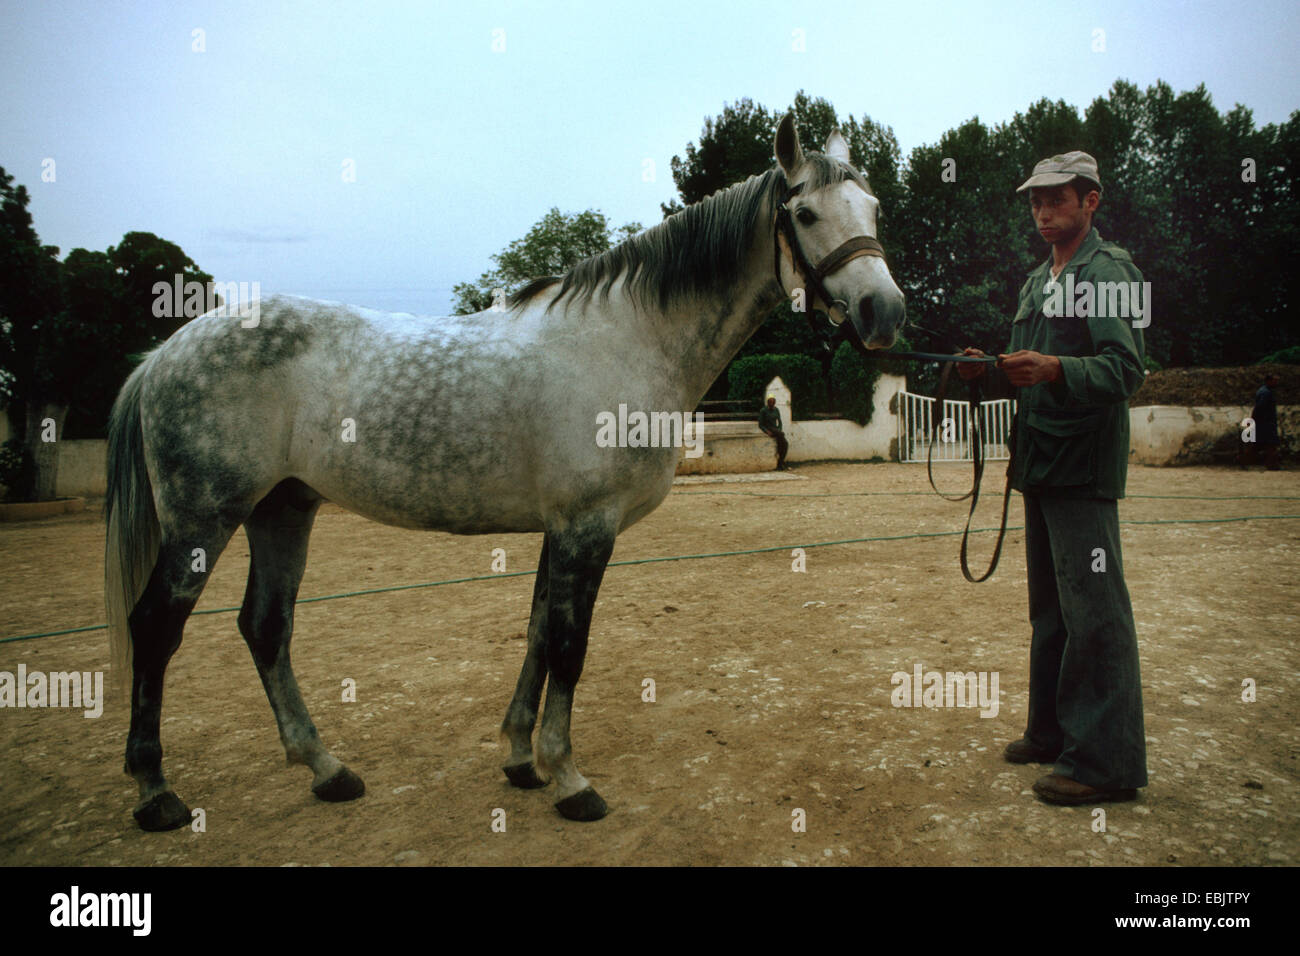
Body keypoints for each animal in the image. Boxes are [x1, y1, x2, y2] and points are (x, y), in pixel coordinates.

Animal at [104, 111, 904, 832]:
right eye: (804, 212)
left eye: (873, 209)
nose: (884, 312)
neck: (627, 338)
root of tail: (164, 353)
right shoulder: (587, 525)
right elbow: (570, 647)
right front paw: (571, 780)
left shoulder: (562, 528)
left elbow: (538, 633)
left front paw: (522, 759)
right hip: (204, 519)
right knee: (156, 628)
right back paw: (155, 792)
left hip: (283, 509)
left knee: (266, 627)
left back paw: (327, 770)